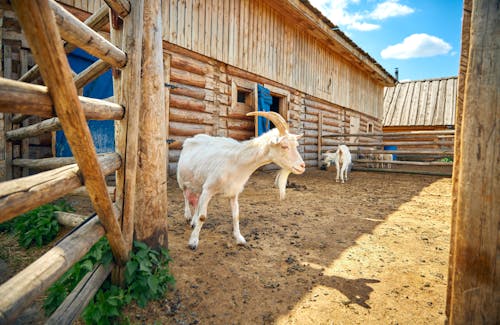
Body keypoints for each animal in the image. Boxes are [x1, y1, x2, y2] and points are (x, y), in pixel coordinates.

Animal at [178, 110, 306, 248]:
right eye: (284, 146)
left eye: (296, 145)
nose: (302, 166)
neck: (237, 162)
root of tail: (191, 139)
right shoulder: (208, 189)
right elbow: (202, 216)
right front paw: (193, 241)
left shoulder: (234, 192)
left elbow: (236, 215)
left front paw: (239, 239)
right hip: (182, 179)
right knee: (185, 196)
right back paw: (188, 216)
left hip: (197, 182)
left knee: (196, 201)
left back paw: (193, 221)